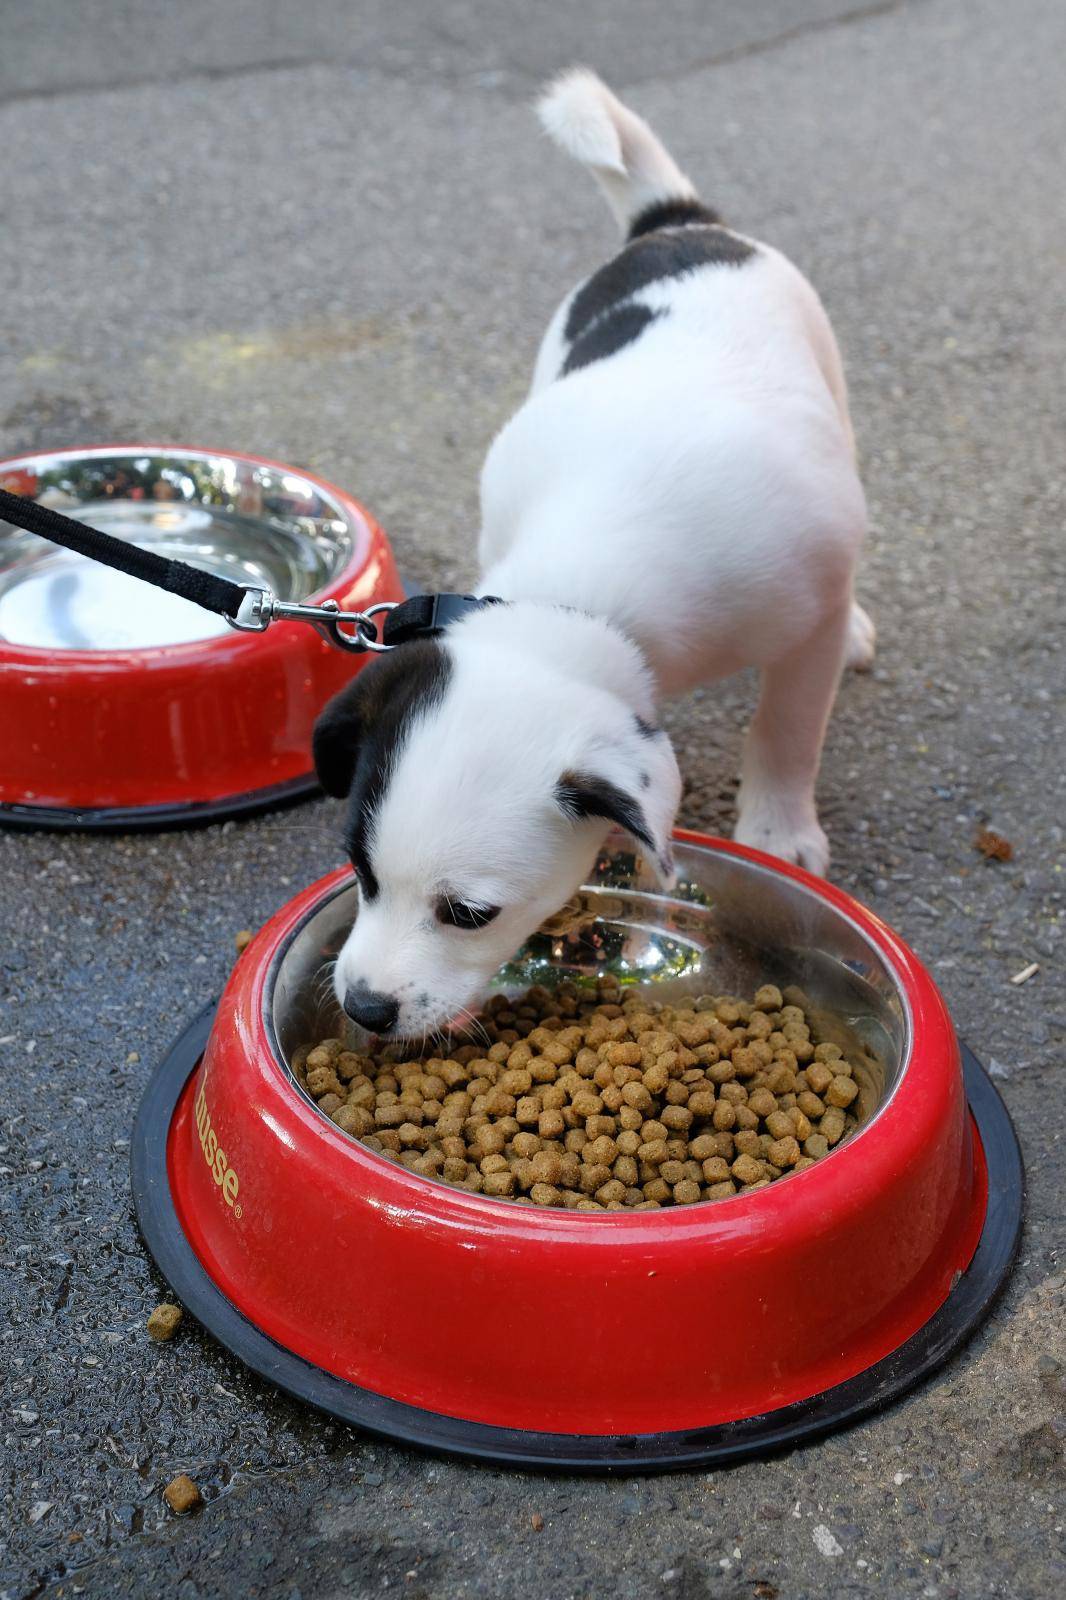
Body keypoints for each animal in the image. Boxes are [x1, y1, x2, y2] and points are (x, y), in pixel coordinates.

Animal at [312, 68, 870, 1036]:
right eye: (362, 872)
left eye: (469, 913)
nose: (366, 1008)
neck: (583, 587)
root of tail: (677, 224)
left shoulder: (808, 614)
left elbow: (789, 726)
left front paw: (778, 828)